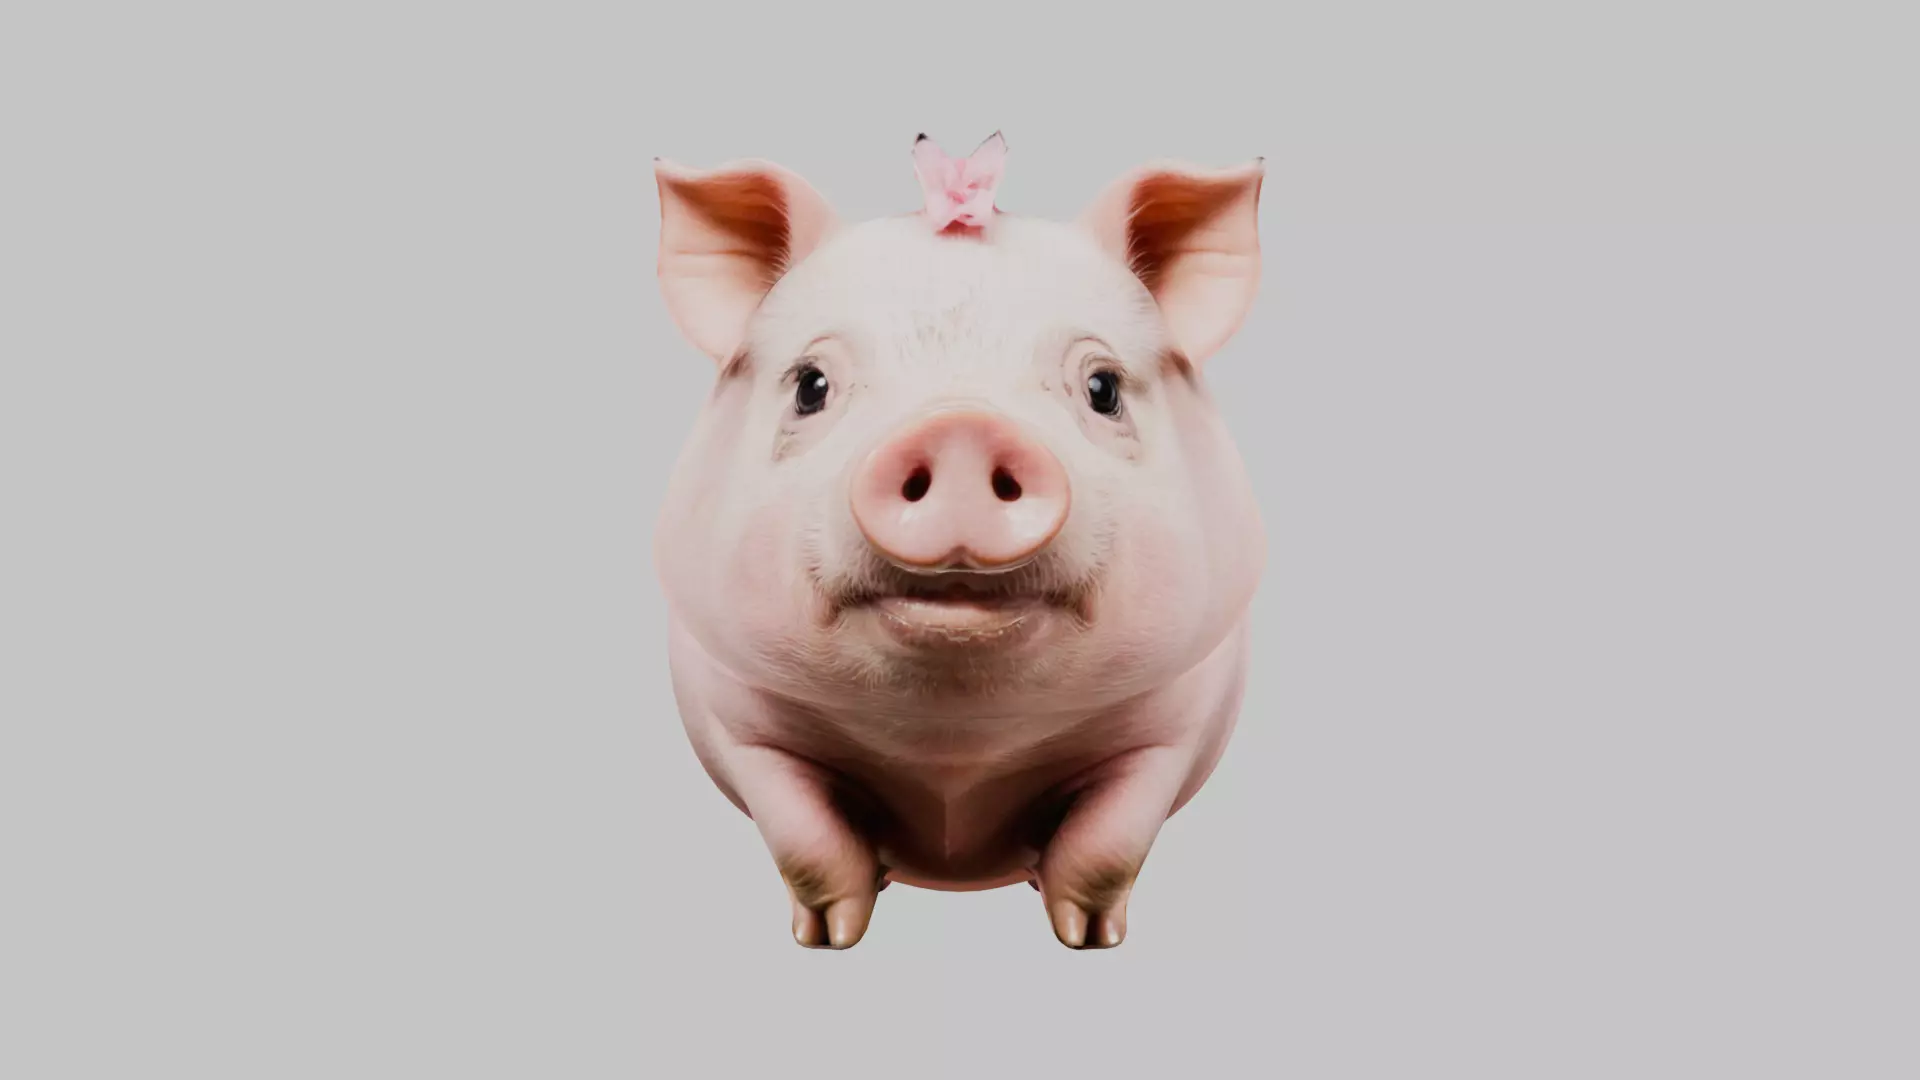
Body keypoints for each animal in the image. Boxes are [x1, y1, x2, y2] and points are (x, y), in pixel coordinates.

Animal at [650, 132, 1267, 949]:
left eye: (1102, 388)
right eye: (811, 385)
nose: (960, 426)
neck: (954, 754)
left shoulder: (1177, 721)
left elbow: (1106, 848)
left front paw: (1089, 938)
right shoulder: (735, 717)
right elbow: (808, 845)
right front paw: (828, 938)